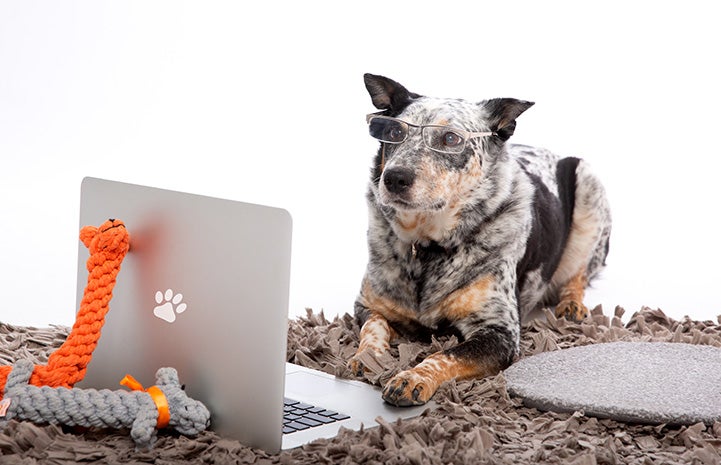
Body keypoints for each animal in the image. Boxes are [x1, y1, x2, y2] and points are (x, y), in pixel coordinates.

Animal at [352, 74, 612, 404]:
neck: (427, 247)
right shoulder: (367, 306)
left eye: (451, 138)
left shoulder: (499, 331)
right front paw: (368, 357)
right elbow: (374, 326)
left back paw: (571, 304)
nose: (395, 178)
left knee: (579, 273)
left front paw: (413, 377)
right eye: (394, 132)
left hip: (588, 186)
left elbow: (445, 355)